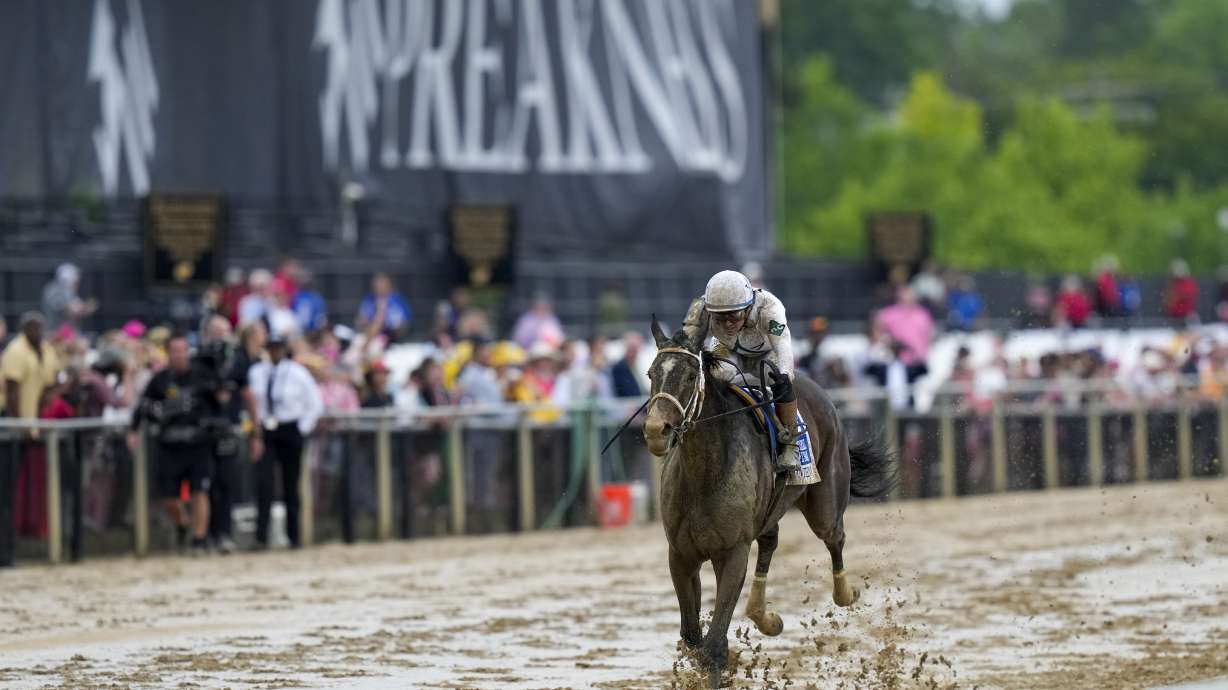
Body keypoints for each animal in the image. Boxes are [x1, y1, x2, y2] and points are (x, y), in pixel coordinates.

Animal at [644, 312, 894, 688]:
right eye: (651, 374)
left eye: (689, 376)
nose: (655, 431)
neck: (704, 473)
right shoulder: (681, 554)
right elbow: (692, 637)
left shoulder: (732, 552)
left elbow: (713, 645)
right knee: (771, 541)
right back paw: (764, 616)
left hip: (825, 500)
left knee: (834, 537)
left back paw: (845, 593)